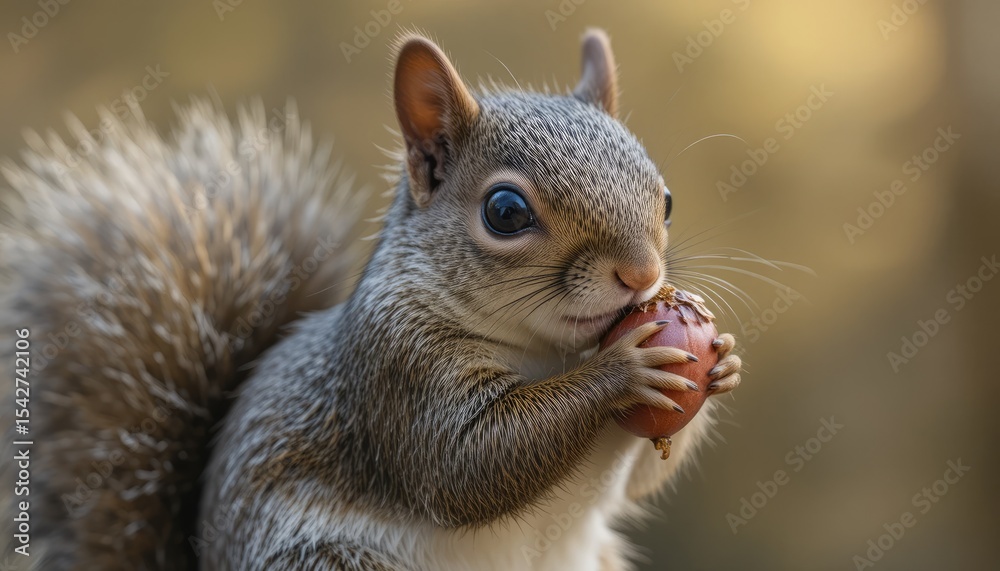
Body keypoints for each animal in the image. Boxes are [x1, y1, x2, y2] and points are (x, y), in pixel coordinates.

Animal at [1, 30, 742, 570]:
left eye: (665, 198)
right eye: (505, 212)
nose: (641, 275)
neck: (549, 351)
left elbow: (639, 479)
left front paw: (725, 362)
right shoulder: (395, 365)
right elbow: (466, 461)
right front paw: (623, 369)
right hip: (334, 561)